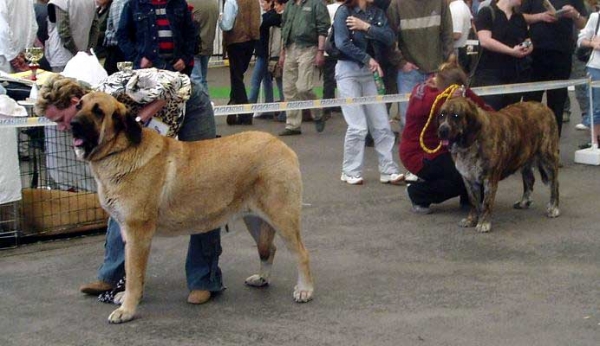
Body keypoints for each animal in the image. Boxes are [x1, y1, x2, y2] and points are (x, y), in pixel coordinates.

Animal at [436, 97, 556, 232]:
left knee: (554, 184)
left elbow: (486, 203)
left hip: (548, 158)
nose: (442, 130)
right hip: (525, 159)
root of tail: (545, 107)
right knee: (529, 180)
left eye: (456, 116)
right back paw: (524, 202)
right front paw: (471, 219)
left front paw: (483, 223)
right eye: (442, 115)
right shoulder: (469, 179)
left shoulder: (490, 179)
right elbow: (473, 201)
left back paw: (553, 208)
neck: (472, 142)